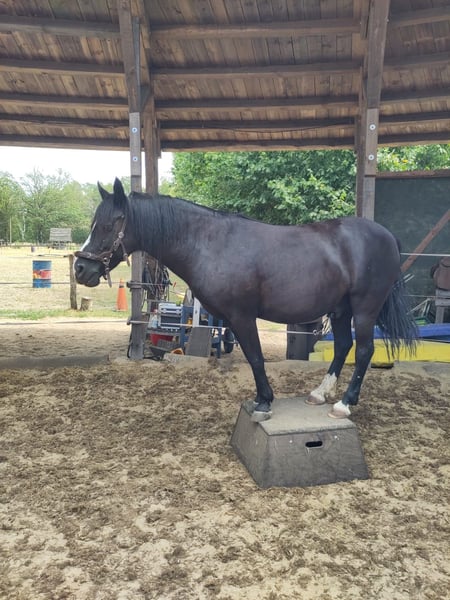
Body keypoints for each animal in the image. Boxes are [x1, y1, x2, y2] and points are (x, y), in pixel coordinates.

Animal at [74, 178, 418, 422]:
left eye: (109, 224)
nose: (81, 268)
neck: (210, 243)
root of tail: (387, 236)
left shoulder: (241, 316)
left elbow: (255, 357)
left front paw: (264, 402)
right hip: (340, 310)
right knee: (344, 346)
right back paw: (320, 394)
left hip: (364, 309)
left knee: (363, 351)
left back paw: (345, 404)